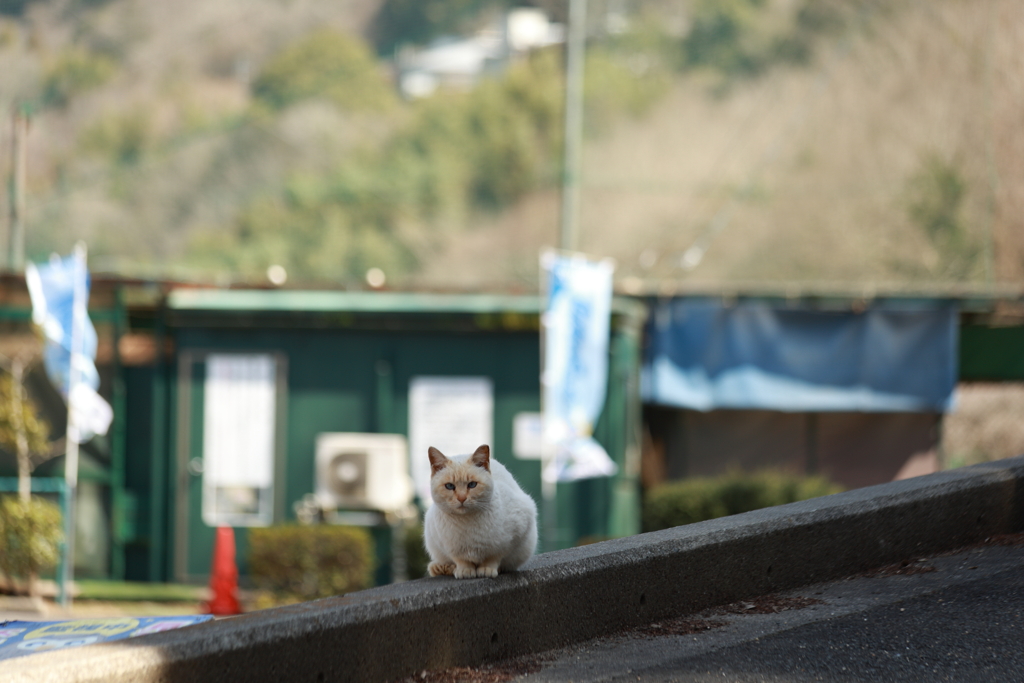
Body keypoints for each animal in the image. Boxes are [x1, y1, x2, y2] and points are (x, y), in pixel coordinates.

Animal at [421, 446, 540, 581]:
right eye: (449, 486)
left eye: (472, 485)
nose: (461, 498)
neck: (466, 522)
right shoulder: (451, 548)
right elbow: (461, 560)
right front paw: (465, 571)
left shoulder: (509, 540)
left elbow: (493, 558)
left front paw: (487, 570)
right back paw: (444, 568)